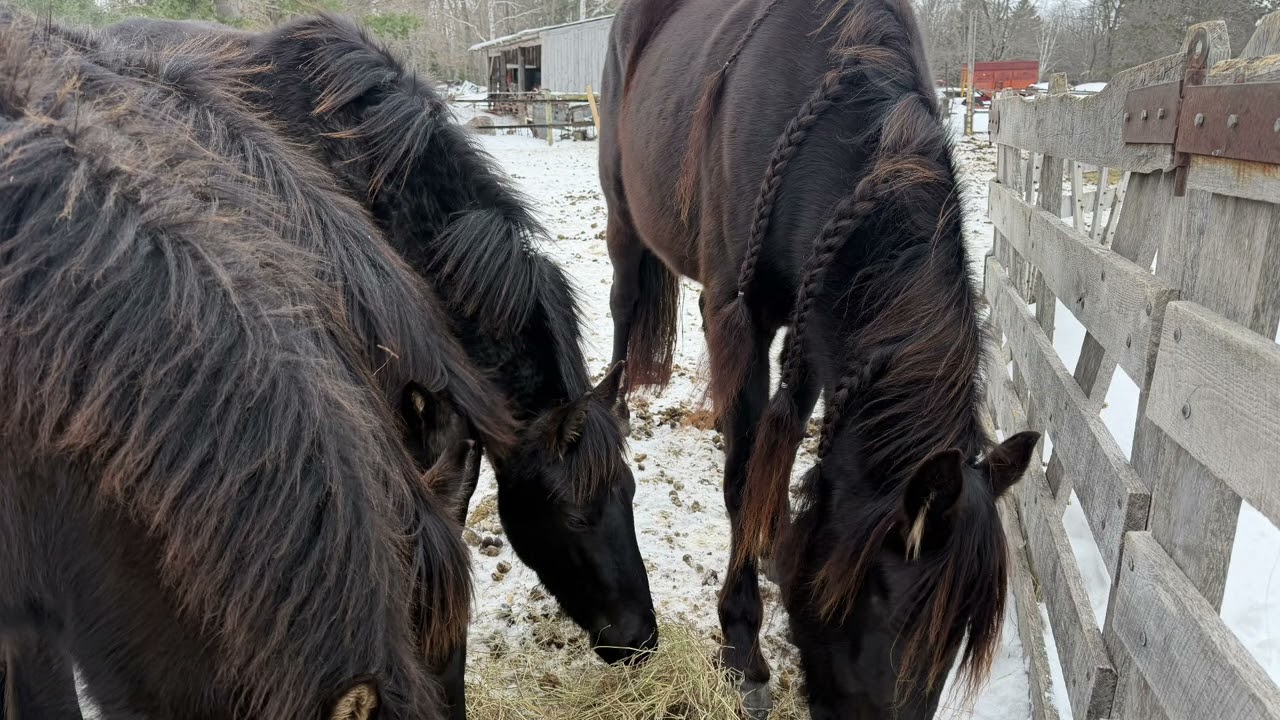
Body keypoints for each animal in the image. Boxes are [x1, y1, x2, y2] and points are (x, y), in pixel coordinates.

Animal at [601, 0, 1040, 715]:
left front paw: (775, 542)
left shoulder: (813, 330)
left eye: (953, 642)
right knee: (622, 304)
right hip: (622, 217)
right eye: (886, 606)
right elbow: (742, 480)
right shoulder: (739, 317)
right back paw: (612, 409)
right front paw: (743, 653)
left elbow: (774, 465)